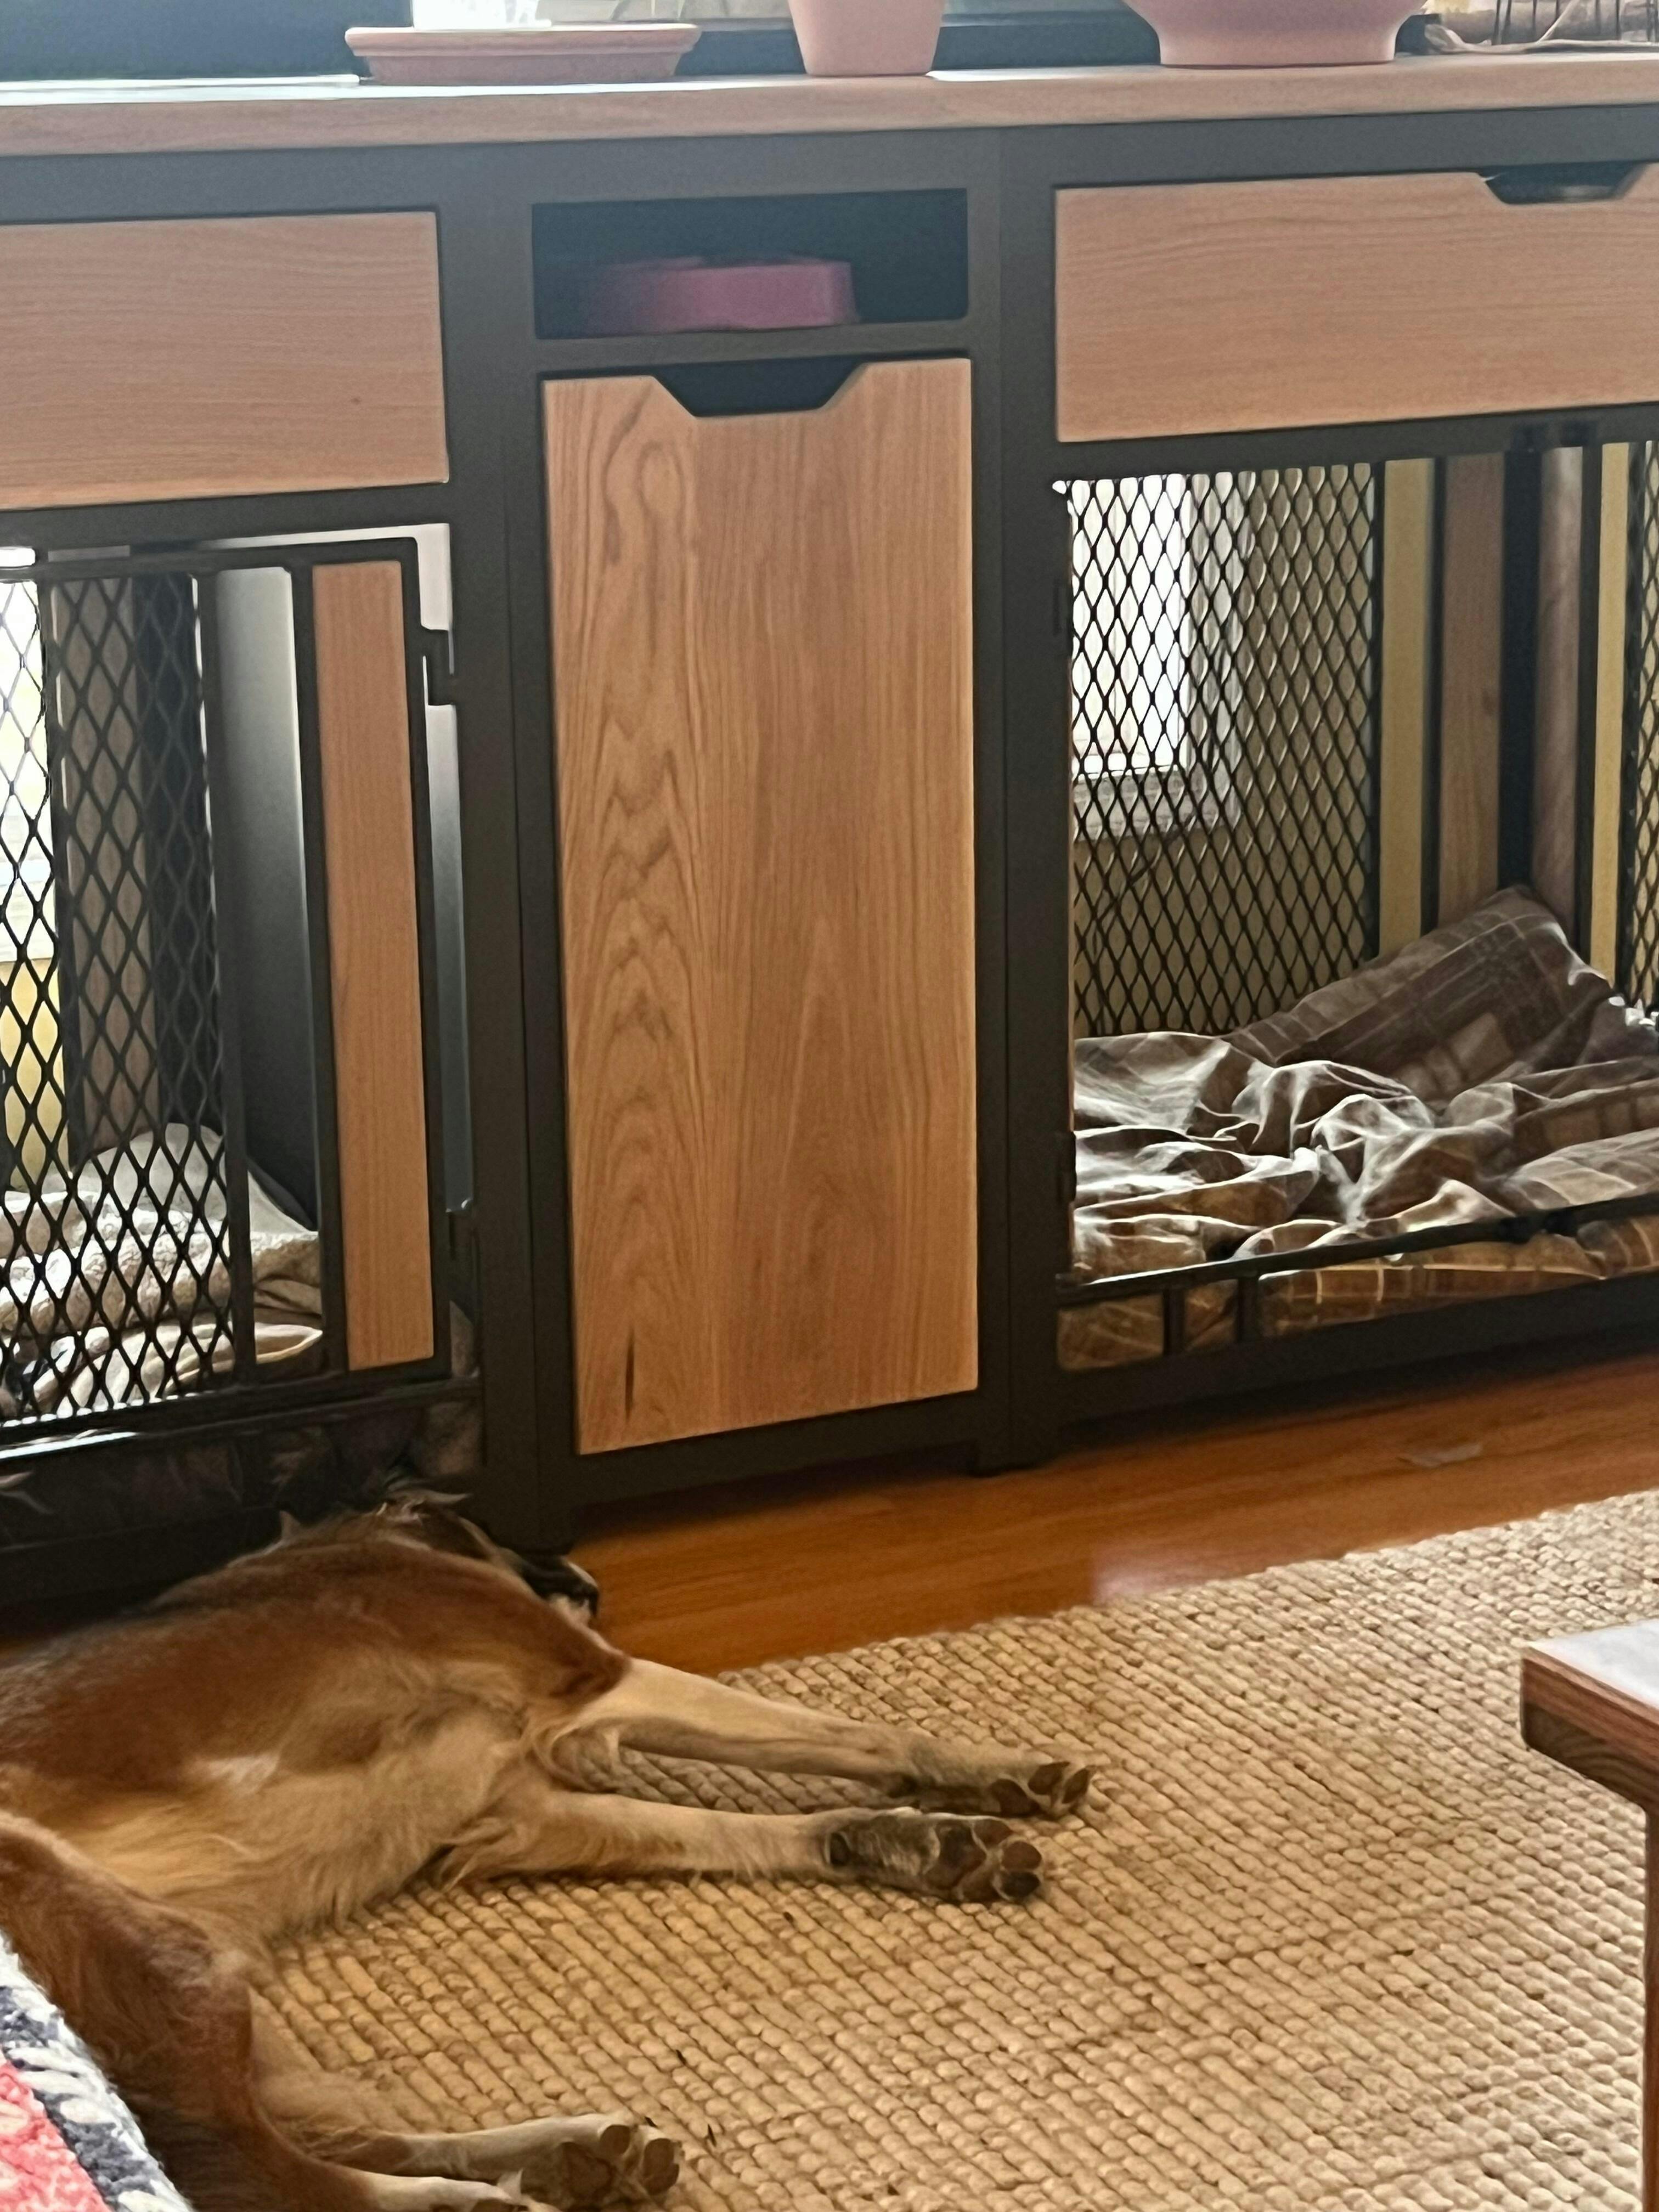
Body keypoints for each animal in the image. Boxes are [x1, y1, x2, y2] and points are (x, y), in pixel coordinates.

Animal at [0, 1496, 1093, 2211]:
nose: (590, 1580)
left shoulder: (518, 1810)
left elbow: (743, 1824)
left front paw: (917, 1838)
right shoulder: (594, 1677)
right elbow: (847, 1734)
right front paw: (985, 1767)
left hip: (203, 1977)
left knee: (313, 2140)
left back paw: (568, 2158)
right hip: (165, 1959)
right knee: (281, 2181)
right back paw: (479, 2202)